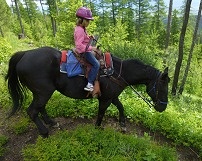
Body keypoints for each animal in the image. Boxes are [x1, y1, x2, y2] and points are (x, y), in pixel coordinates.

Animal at [5, 46, 169, 137]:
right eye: (162, 86)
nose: (163, 107)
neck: (118, 72)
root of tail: (24, 54)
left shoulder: (111, 96)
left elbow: (121, 107)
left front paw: (122, 124)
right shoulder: (105, 99)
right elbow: (101, 113)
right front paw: (97, 128)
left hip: (41, 93)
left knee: (40, 108)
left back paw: (51, 123)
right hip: (43, 92)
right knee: (32, 111)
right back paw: (44, 132)